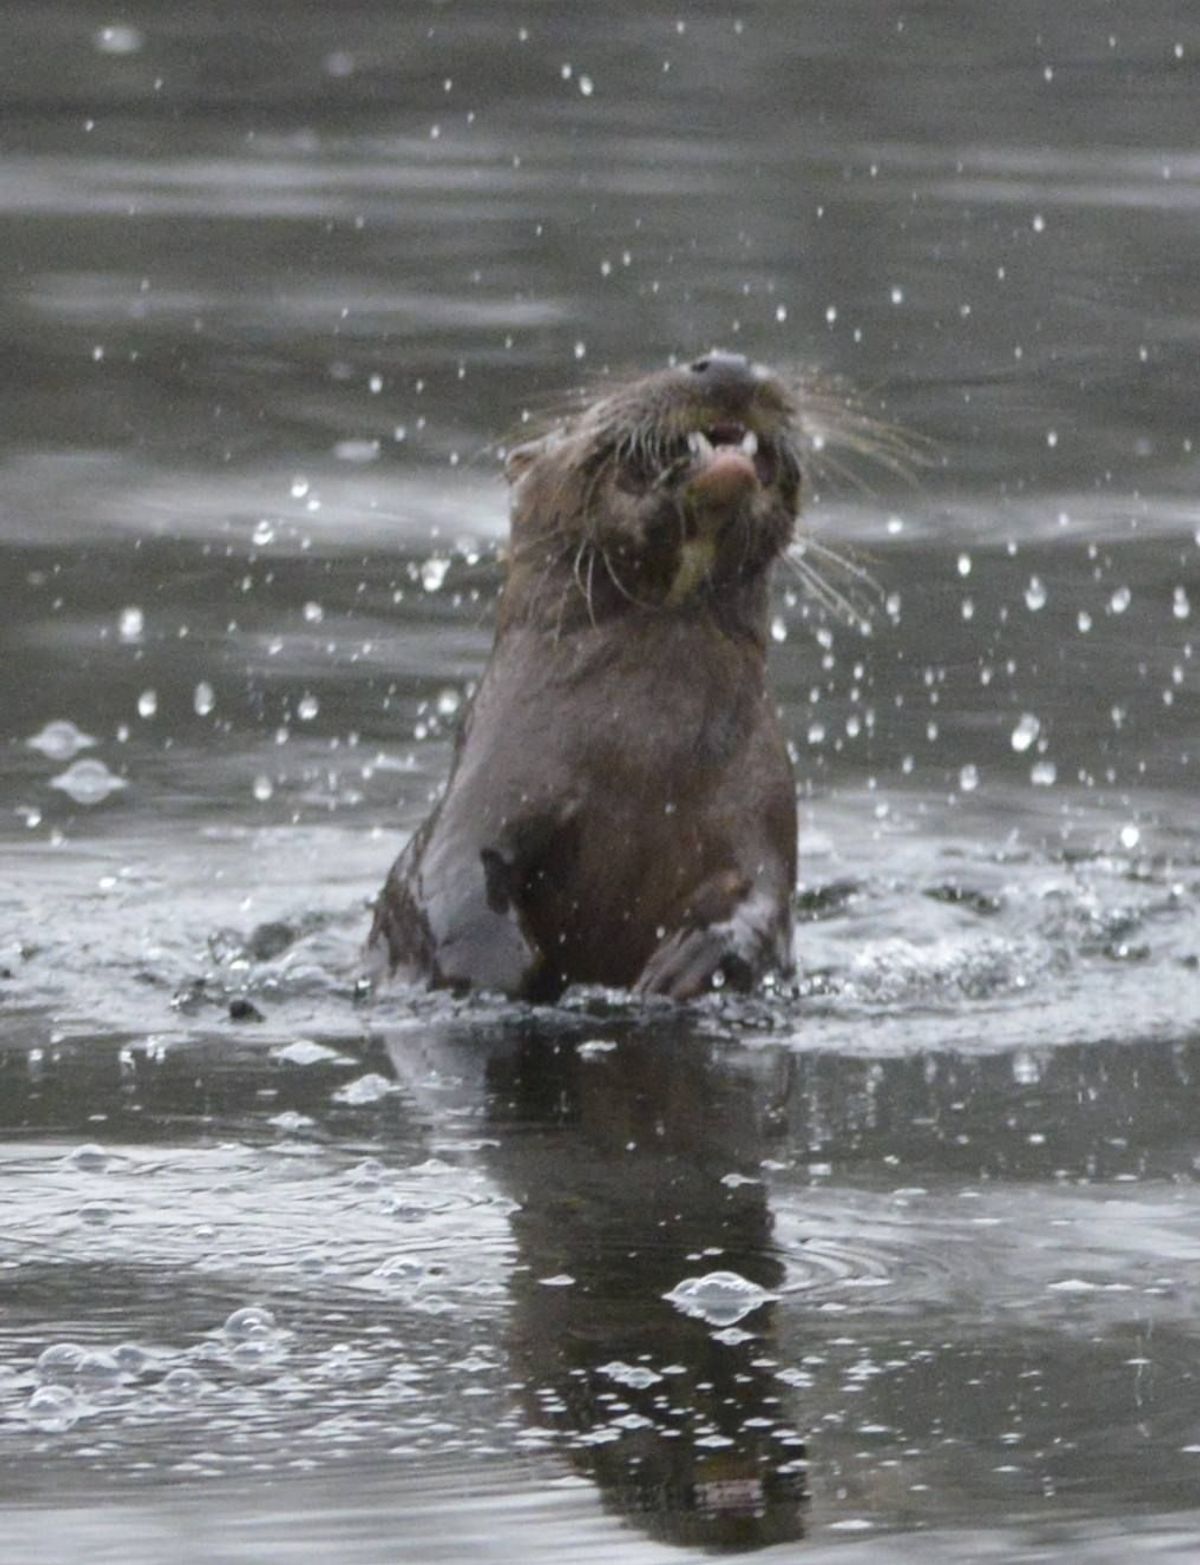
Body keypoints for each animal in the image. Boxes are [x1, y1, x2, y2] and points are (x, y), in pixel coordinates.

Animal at [368, 351, 803, 1002]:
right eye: (588, 413)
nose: (728, 363)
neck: (645, 752)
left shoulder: (763, 813)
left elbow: (762, 902)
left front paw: (693, 961)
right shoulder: (486, 795)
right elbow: (449, 885)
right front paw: (501, 969)